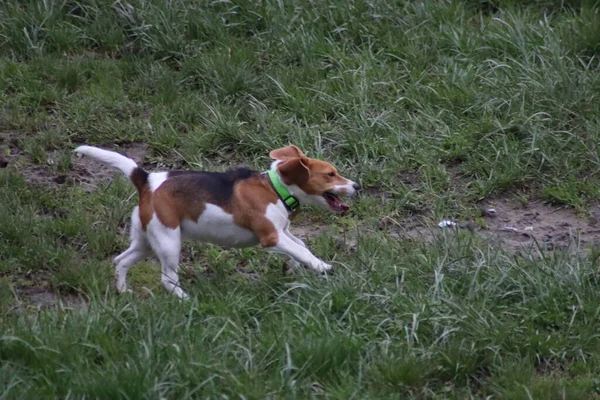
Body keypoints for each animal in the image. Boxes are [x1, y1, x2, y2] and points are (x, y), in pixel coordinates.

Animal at [74, 145, 356, 298]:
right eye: (331, 174)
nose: (357, 185)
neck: (275, 189)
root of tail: (147, 180)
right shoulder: (271, 236)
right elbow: (301, 249)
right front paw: (322, 267)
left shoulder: (283, 232)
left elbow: (300, 247)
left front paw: (295, 268)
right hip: (168, 242)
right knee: (167, 279)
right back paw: (186, 300)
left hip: (146, 240)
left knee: (120, 261)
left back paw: (123, 292)